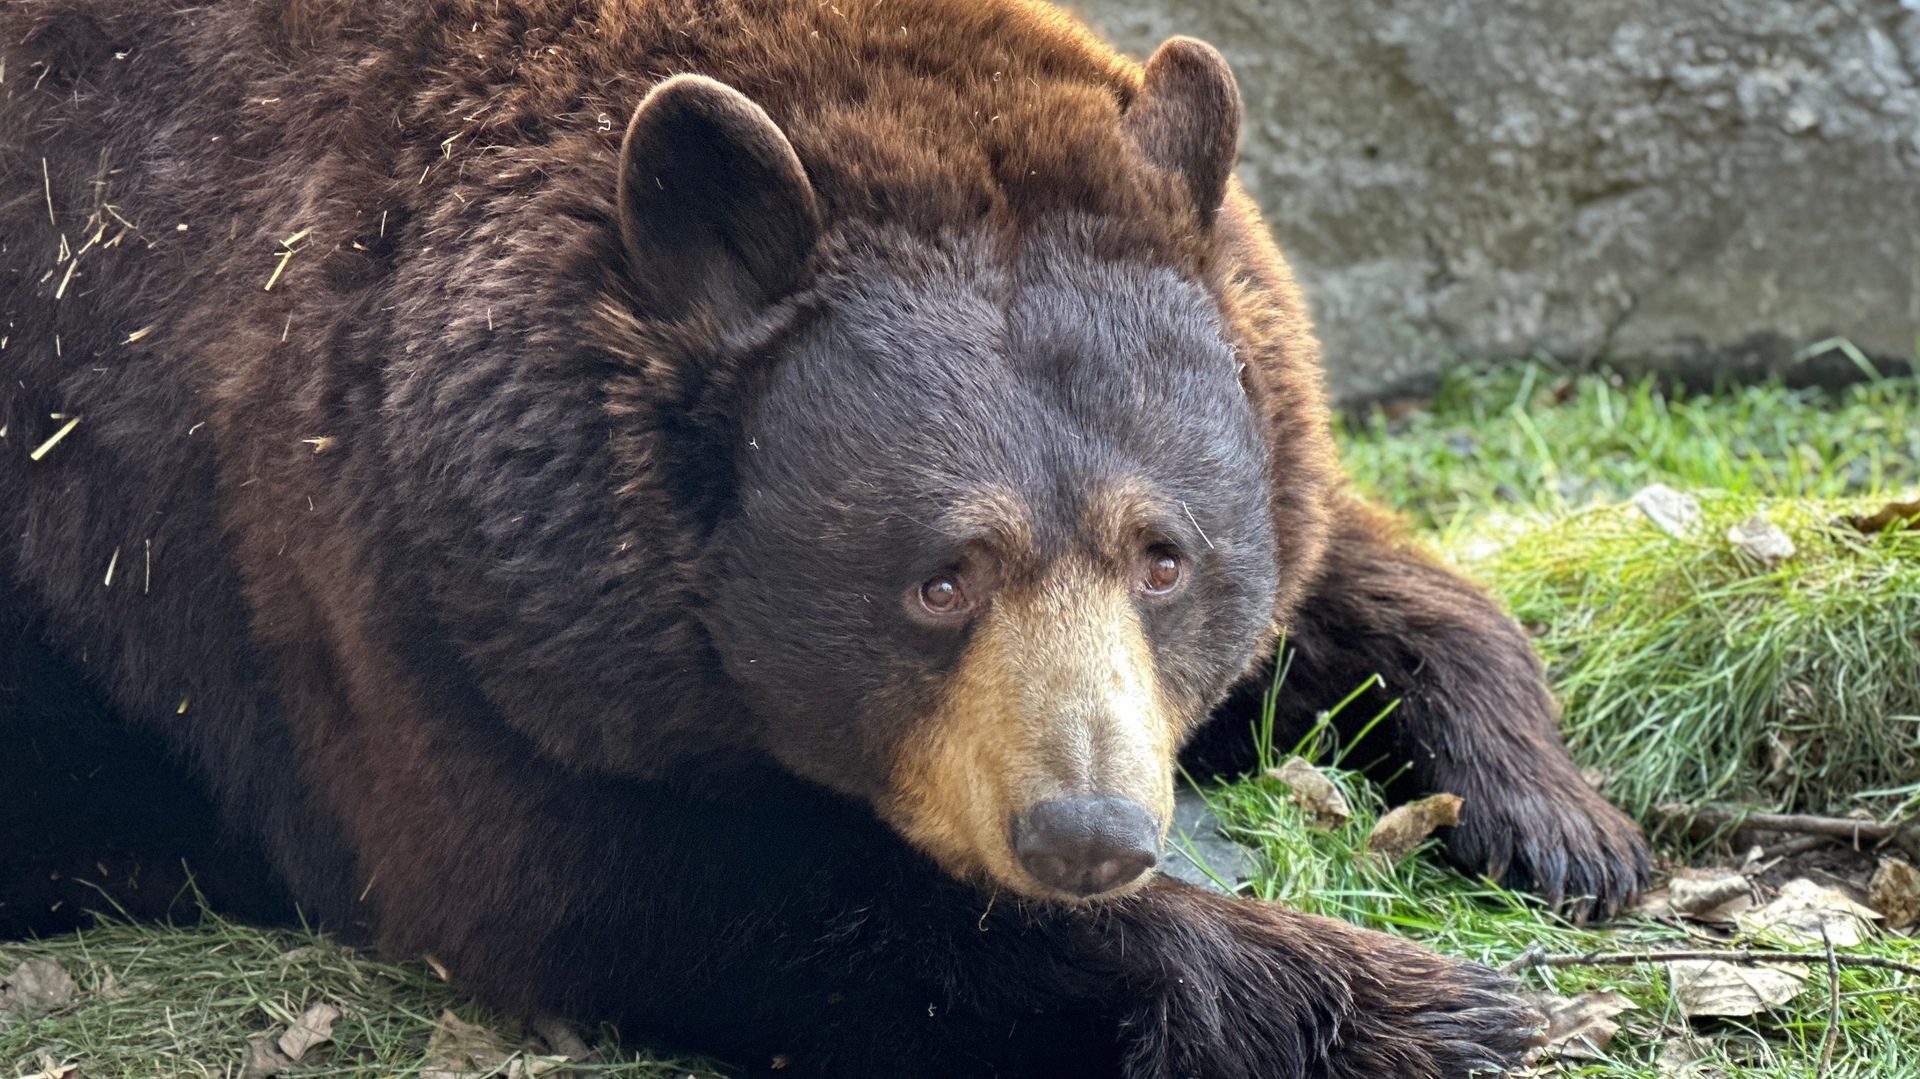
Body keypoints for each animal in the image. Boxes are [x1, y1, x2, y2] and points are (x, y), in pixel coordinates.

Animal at [0, 0, 1650, 1075]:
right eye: (940, 576)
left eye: (1163, 554)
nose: (1089, 833)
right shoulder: (351, 566)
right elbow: (616, 876)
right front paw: (1431, 1002)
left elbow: (1362, 579)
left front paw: (1561, 821)